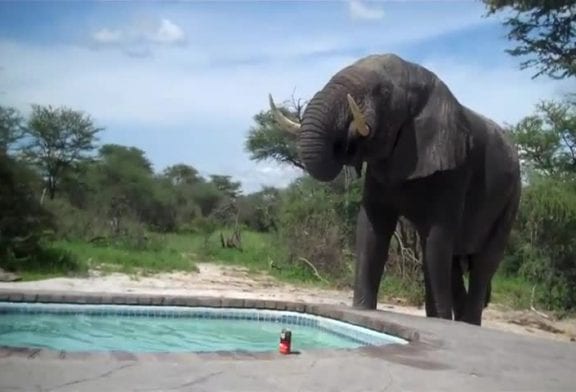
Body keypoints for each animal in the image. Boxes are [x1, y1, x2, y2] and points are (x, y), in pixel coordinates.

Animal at [270, 54, 520, 324]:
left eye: (384, 92)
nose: (348, 137)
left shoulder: (454, 170)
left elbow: (437, 238)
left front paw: (440, 321)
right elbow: (372, 228)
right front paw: (362, 310)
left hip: (512, 200)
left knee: (483, 263)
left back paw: (465, 323)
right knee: (455, 263)